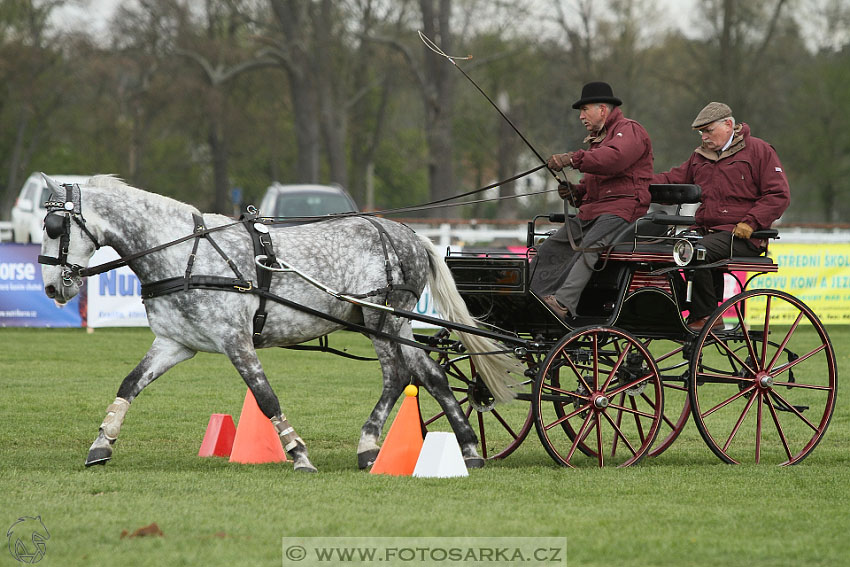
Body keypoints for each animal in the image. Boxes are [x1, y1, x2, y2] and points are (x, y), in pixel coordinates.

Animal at [38, 175, 516, 472]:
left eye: (54, 226)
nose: (51, 287)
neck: (186, 254)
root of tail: (407, 233)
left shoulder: (236, 341)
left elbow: (265, 397)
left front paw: (299, 453)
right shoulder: (175, 343)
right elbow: (129, 384)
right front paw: (101, 444)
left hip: (380, 314)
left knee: (398, 374)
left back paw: (372, 445)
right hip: (392, 321)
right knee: (430, 374)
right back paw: (466, 448)